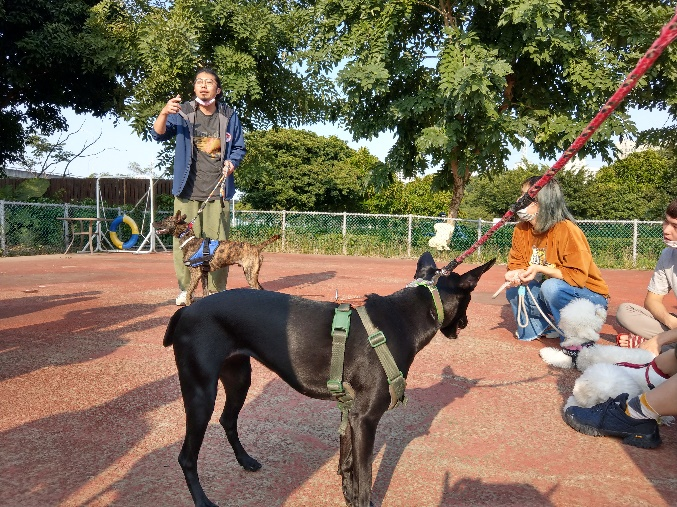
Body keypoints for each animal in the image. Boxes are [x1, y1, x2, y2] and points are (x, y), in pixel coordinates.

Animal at [164, 252, 492, 506]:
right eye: (469, 299)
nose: (466, 323)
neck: (402, 319)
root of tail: (187, 310)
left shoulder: (351, 413)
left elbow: (346, 464)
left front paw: (347, 494)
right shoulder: (366, 418)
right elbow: (365, 478)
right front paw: (360, 498)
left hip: (238, 378)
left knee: (228, 419)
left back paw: (246, 460)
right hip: (200, 392)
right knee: (186, 457)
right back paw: (202, 500)